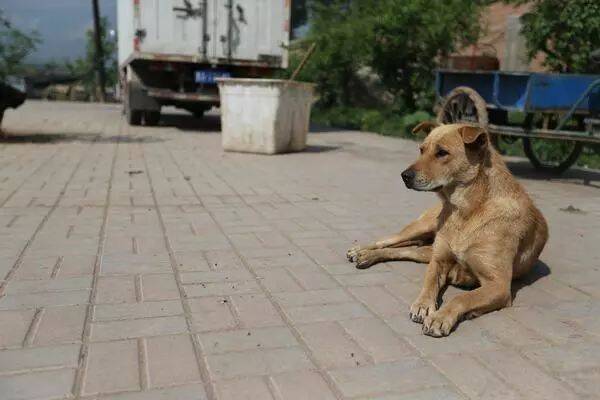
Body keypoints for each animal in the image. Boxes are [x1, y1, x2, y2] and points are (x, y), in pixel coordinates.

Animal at [346, 122, 548, 338]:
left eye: (442, 152)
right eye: (421, 150)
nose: (404, 176)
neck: (465, 209)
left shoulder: (498, 285)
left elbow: (462, 298)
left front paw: (440, 317)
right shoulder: (439, 261)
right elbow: (429, 282)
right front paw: (423, 304)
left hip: (425, 251)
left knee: (404, 250)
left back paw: (367, 256)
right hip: (422, 229)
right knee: (387, 240)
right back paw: (361, 251)